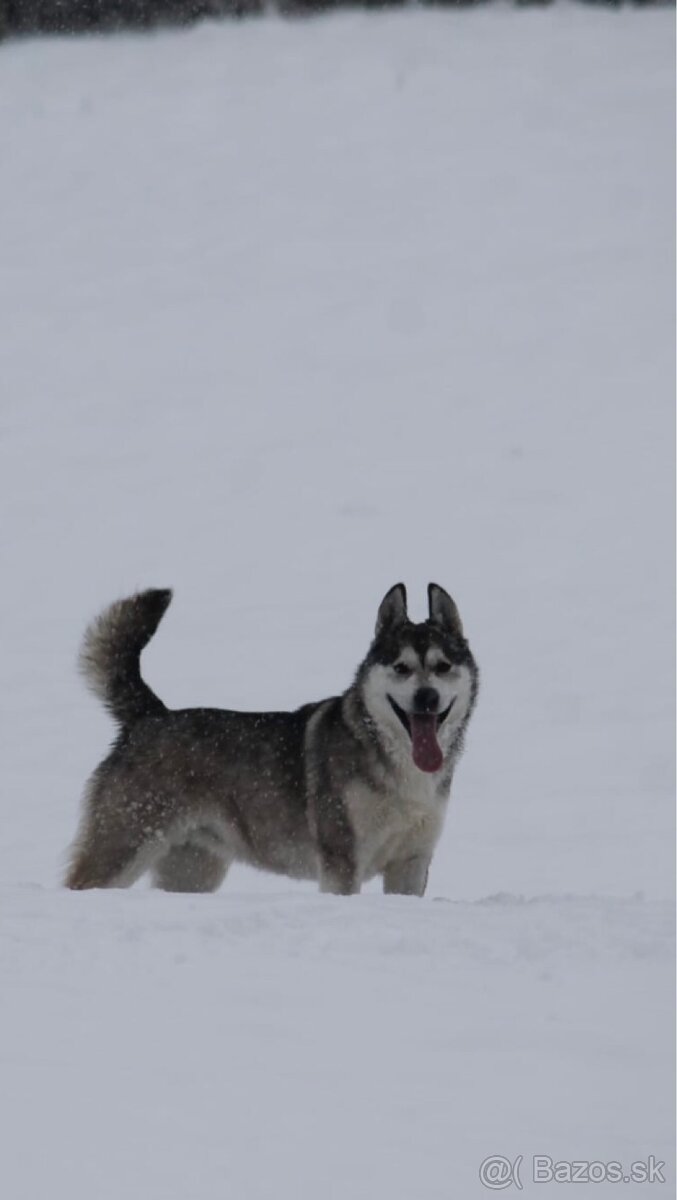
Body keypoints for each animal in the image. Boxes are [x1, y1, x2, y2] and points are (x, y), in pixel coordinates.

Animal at [63, 585, 475, 897]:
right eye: (401, 667)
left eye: (442, 666)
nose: (426, 698)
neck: (401, 769)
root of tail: (151, 715)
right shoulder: (342, 861)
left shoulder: (412, 862)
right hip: (123, 844)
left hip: (192, 868)